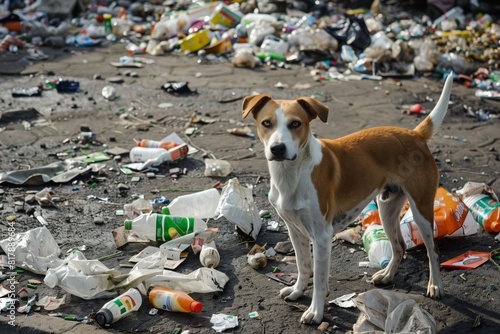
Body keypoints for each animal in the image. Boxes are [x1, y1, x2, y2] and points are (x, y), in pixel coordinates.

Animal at [244, 72, 456, 324]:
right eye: (266, 123)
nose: (277, 148)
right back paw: (386, 276)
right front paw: (297, 291)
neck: (293, 173)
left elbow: (319, 278)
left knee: (433, 250)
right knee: (400, 246)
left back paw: (435, 286)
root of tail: (415, 134)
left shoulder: (322, 236)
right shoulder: (295, 230)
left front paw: (315, 312)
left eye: (295, 124)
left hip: (421, 209)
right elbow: (303, 265)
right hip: (386, 207)